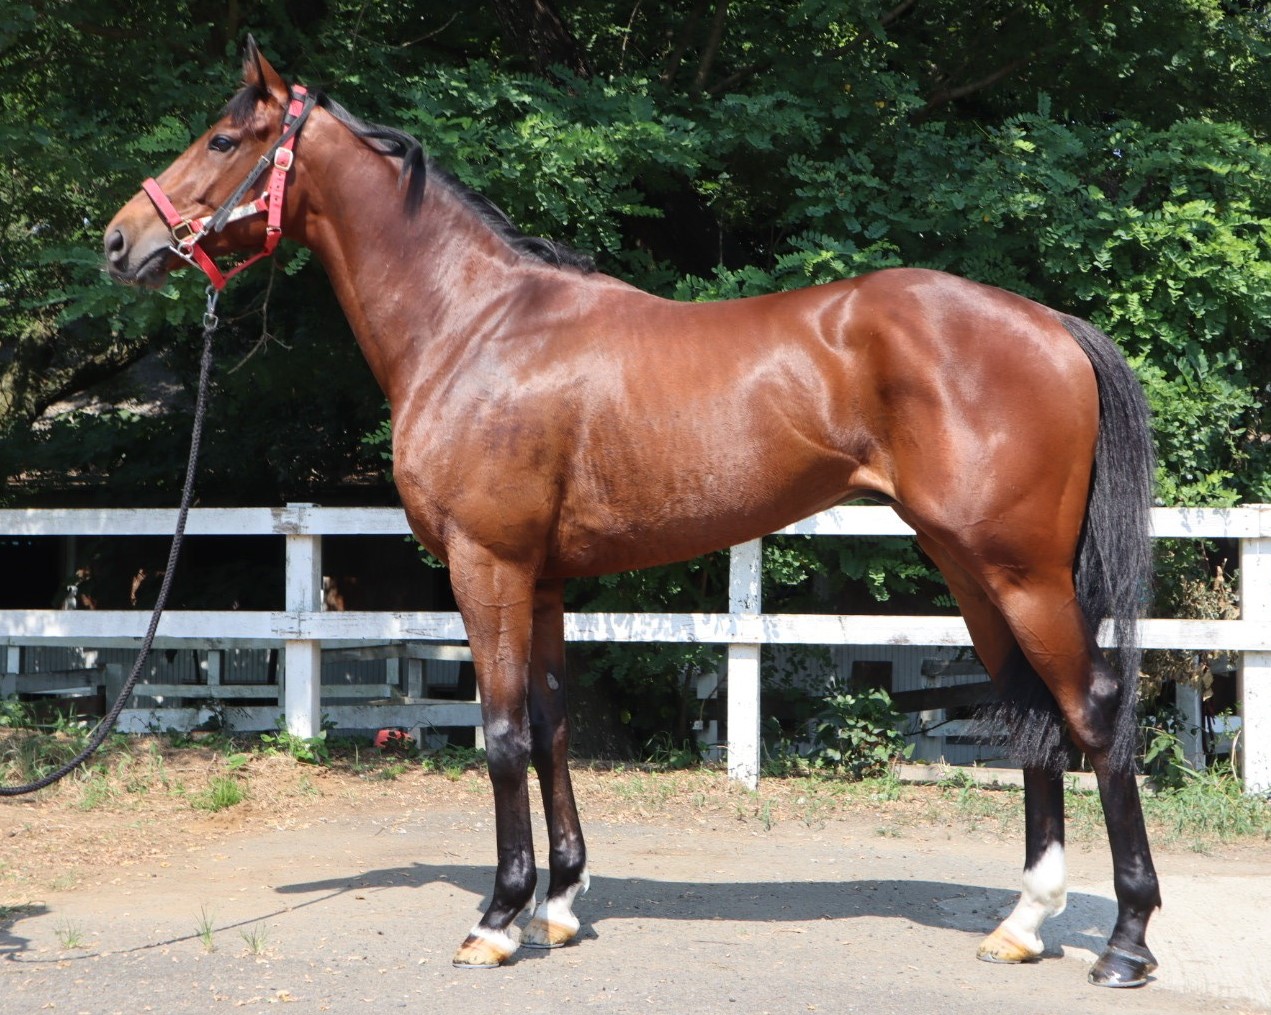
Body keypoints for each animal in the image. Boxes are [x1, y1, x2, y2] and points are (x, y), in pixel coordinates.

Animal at [103, 38, 1160, 987]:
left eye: (222, 137)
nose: (120, 240)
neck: (472, 325)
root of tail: (1050, 325)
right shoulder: (541, 580)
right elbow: (552, 723)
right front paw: (561, 902)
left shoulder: (485, 564)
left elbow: (501, 733)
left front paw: (498, 918)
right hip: (971, 570)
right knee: (1028, 712)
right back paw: (1022, 923)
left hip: (1020, 574)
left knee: (1094, 711)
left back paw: (1125, 942)